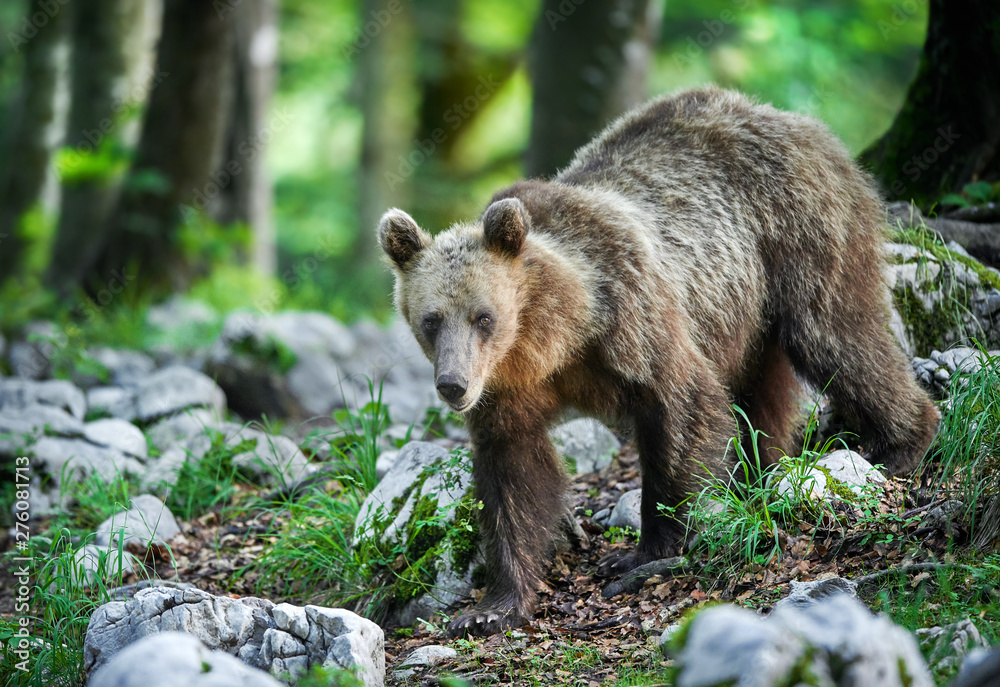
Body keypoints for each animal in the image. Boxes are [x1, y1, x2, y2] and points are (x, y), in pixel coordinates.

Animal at [377, 86, 939, 637]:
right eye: (430, 320)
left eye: (483, 316)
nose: (453, 385)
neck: (554, 339)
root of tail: (797, 122)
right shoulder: (507, 391)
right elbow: (514, 474)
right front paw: (493, 605)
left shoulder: (631, 315)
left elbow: (682, 405)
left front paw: (643, 550)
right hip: (744, 308)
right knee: (763, 391)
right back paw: (759, 471)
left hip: (798, 231)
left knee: (837, 336)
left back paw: (899, 443)